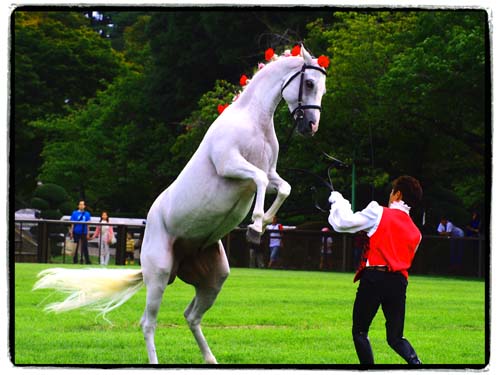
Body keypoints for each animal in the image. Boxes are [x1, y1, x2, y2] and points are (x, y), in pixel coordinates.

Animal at [34, 45, 328, 366]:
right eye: (309, 83)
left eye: (323, 88)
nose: (311, 126)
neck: (253, 122)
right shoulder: (230, 165)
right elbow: (261, 181)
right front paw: (255, 226)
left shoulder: (271, 173)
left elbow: (283, 188)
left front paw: (261, 225)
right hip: (160, 275)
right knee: (148, 323)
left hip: (214, 277)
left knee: (191, 316)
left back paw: (211, 360)